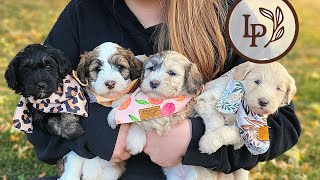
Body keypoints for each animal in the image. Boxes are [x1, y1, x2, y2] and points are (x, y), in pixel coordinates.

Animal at [107, 50, 202, 179]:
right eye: (151, 68)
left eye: (172, 73)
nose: (153, 83)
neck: (154, 100)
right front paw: (121, 100)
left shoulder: (167, 115)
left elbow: (141, 120)